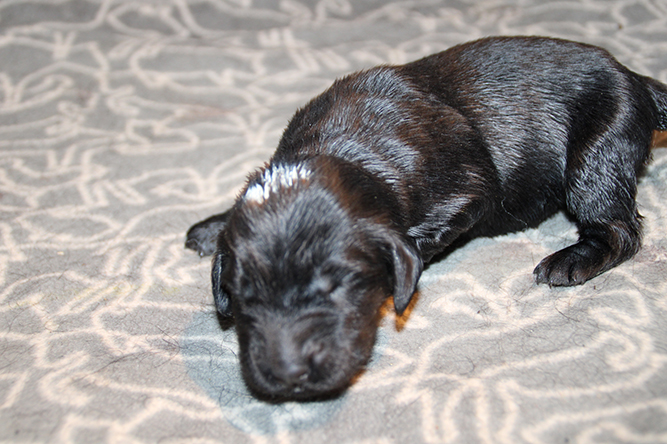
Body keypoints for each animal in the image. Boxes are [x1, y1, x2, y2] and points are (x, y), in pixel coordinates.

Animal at [186, 36, 667, 401]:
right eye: (244, 294)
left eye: (338, 285)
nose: (288, 375)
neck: (343, 151)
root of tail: (635, 78)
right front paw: (213, 226)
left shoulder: (470, 190)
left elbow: (419, 241)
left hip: (597, 155)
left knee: (621, 230)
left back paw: (571, 260)